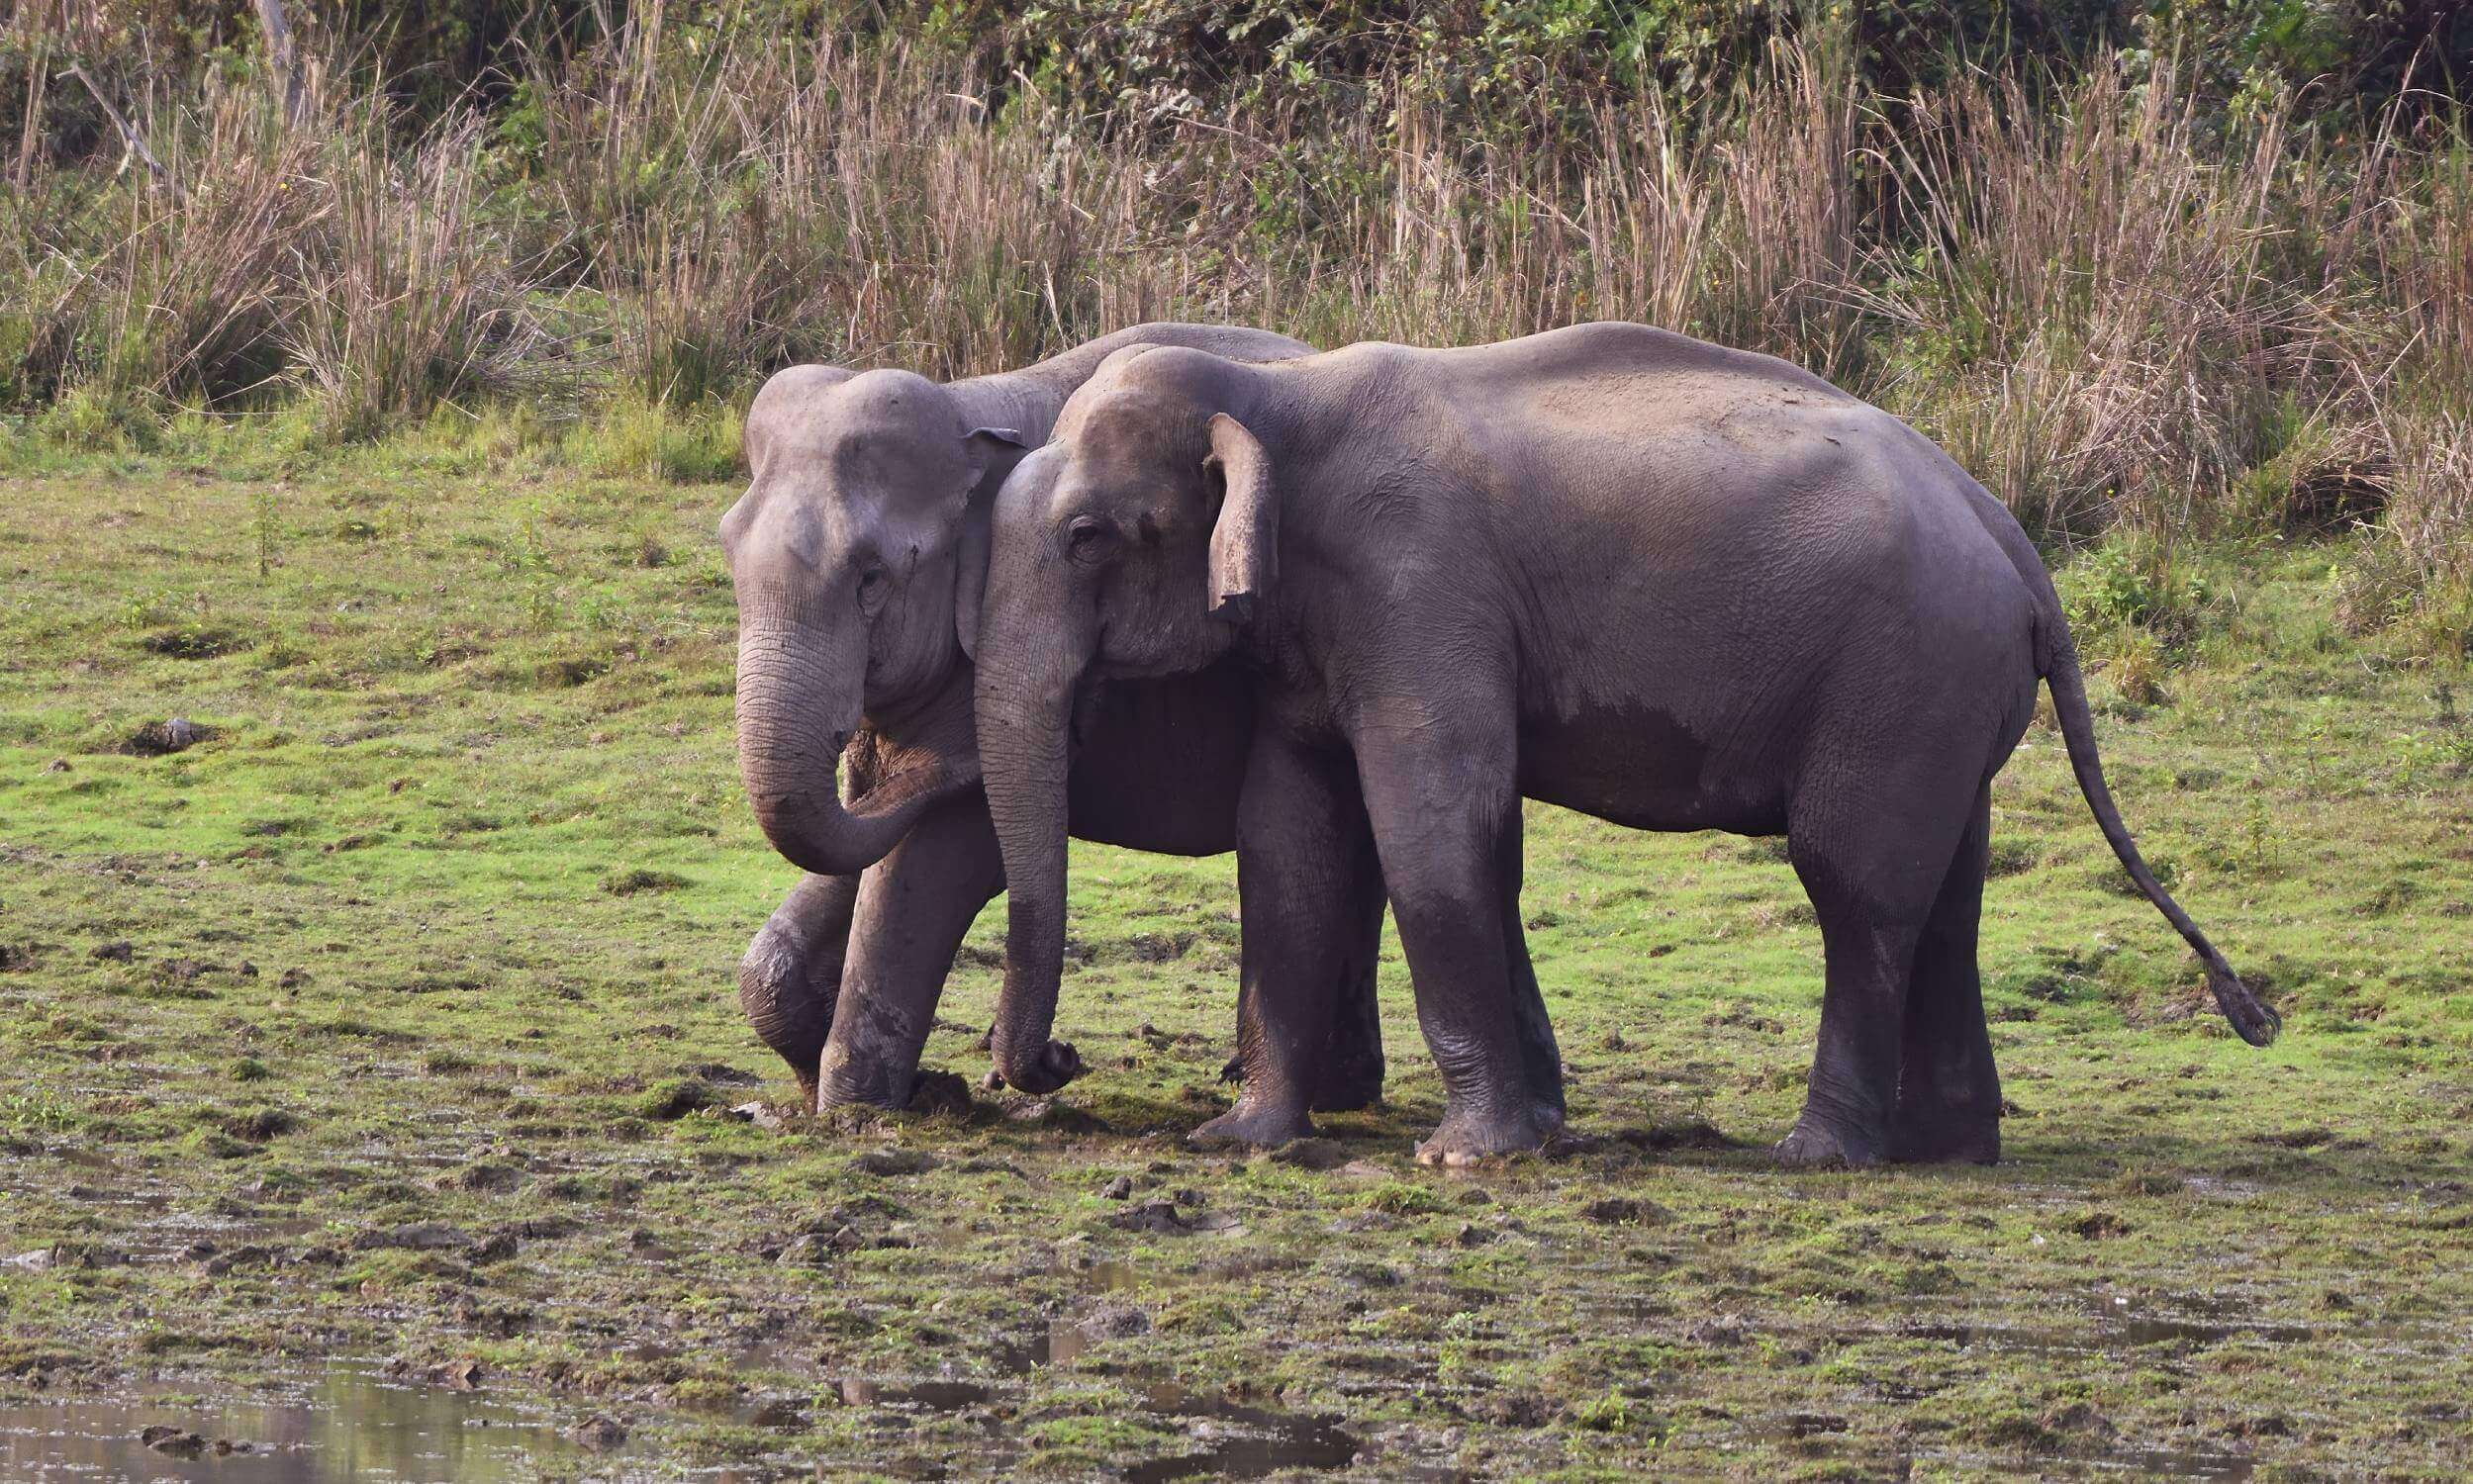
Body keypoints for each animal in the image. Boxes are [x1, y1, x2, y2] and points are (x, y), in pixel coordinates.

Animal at [716, 324, 1414, 1113]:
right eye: (728, 556)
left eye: (871, 578)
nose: (1064, 1055)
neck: (969, 406)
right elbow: (860, 845)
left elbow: (940, 857)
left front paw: (862, 1109)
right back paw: (1333, 1088)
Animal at [964, 324, 2275, 1172]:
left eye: (1085, 538)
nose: (1059, 1062)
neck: (1276, 391)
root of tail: (2015, 539)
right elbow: (1293, 835)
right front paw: (1239, 1143)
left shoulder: (1418, 582)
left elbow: (1431, 820)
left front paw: (1467, 1161)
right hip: (1950, 701)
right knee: (1949, 896)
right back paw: (1948, 1151)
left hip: (1901, 681)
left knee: (1857, 887)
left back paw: (1818, 1157)